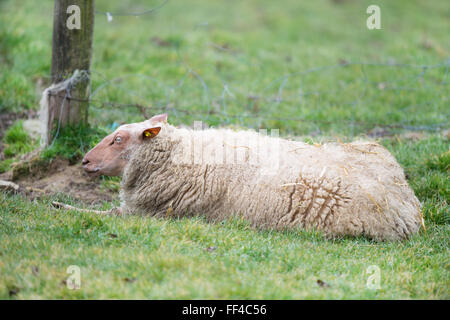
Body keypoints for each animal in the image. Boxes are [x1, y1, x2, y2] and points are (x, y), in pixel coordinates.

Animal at [73, 113, 422, 240]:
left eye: (118, 139)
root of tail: (409, 201)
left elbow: (101, 212)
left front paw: (63, 208)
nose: (84, 160)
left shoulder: (144, 214)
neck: (176, 152)